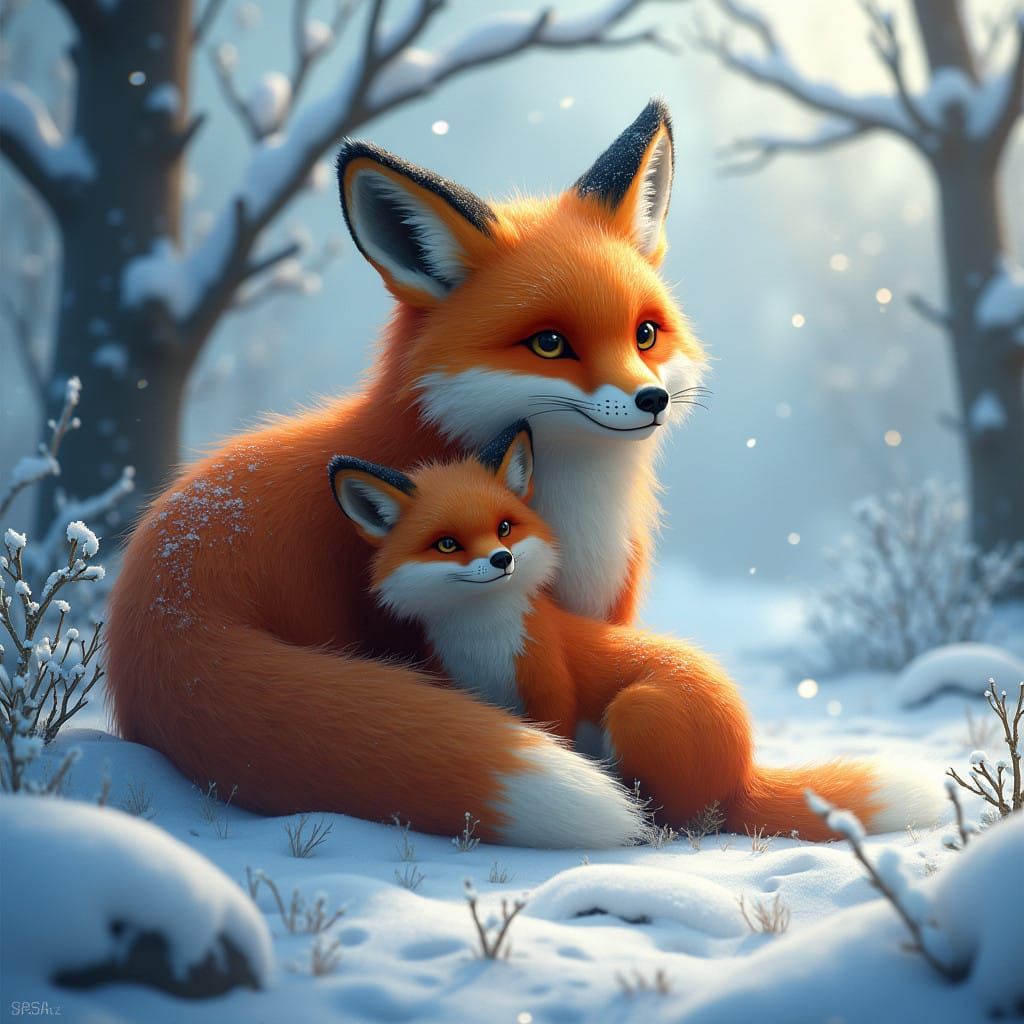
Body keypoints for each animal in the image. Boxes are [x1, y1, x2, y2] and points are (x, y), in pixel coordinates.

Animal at [329, 421, 944, 841]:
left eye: (504, 527)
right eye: (448, 544)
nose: (502, 560)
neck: (483, 640)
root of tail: (742, 770)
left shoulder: (550, 684)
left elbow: (555, 727)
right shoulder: (467, 686)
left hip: (635, 711)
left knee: (687, 819)